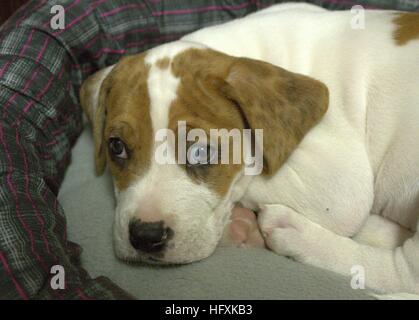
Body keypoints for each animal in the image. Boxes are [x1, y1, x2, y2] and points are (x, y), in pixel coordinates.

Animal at [79, 3, 419, 296]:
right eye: (116, 147)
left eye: (201, 152)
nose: (145, 237)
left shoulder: (339, 181)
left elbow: (250, 177)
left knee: (404, 271)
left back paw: (297, 234)